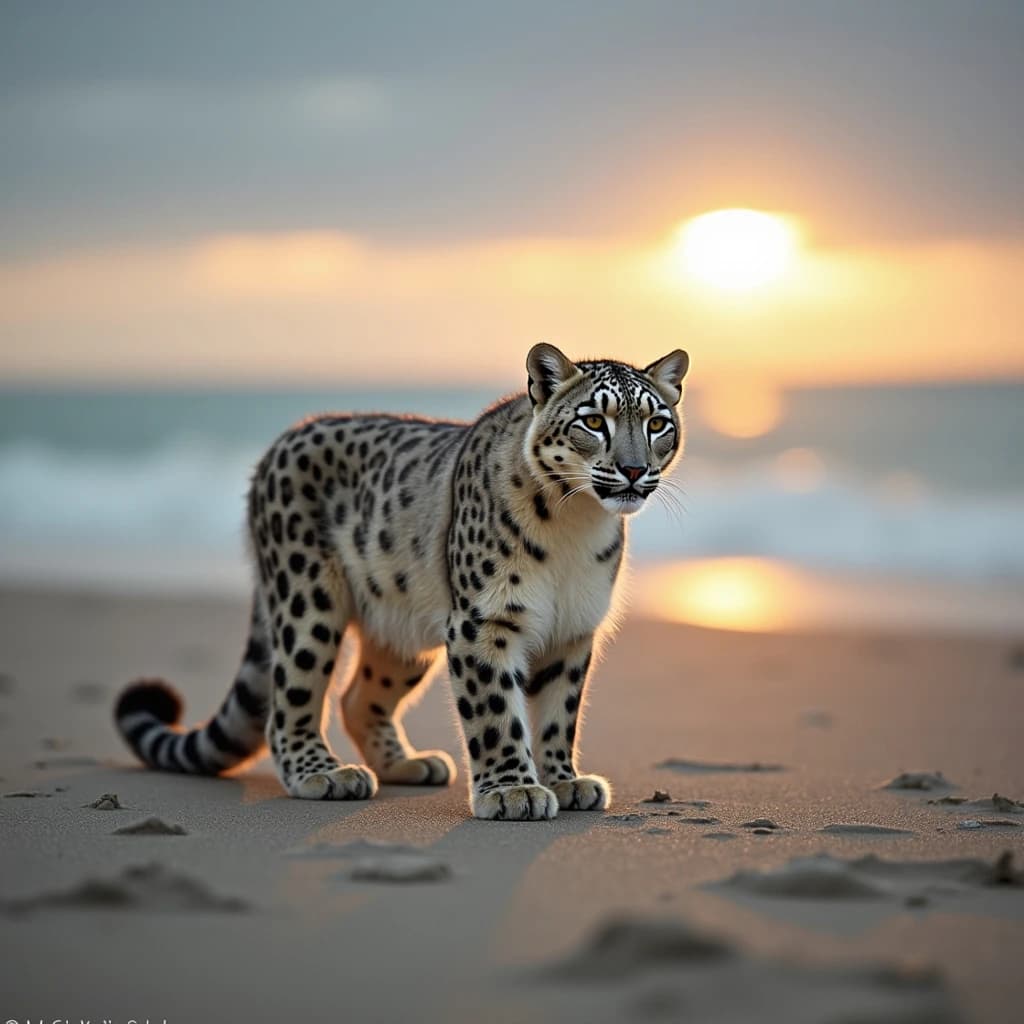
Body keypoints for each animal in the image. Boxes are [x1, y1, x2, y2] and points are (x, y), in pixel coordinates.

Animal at [115, 343, 689, 820]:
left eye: (658, 423)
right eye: (593, 420)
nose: (634, 469)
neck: (577, 525)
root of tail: (280, 442)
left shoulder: (572, 629)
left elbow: (559, 712)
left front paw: (564, 781)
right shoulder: (483, 622)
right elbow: (495, 712)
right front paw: (513, 790)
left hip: (403, 629)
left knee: (356, 697)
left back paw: (408, 765)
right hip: (307, 603)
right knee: (290, 699)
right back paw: (324, 774)